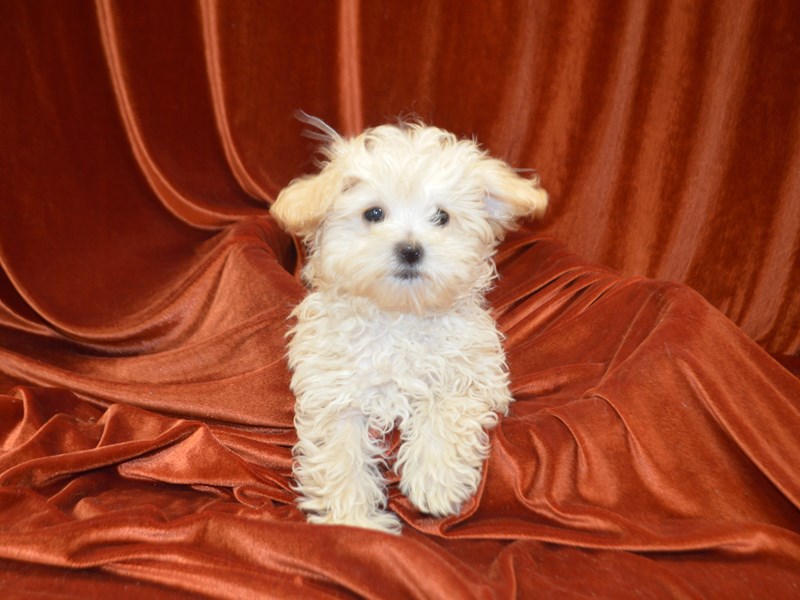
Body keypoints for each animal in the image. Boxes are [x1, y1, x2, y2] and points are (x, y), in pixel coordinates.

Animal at [272, 117, 548, 536]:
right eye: (373, 213)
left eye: (442, 217)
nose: (410, 249)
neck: (399, 316)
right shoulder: (335, 392)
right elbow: (340, 453)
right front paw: (352, 520)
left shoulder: (474, 376)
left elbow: (446, 410)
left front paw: (436, 482)